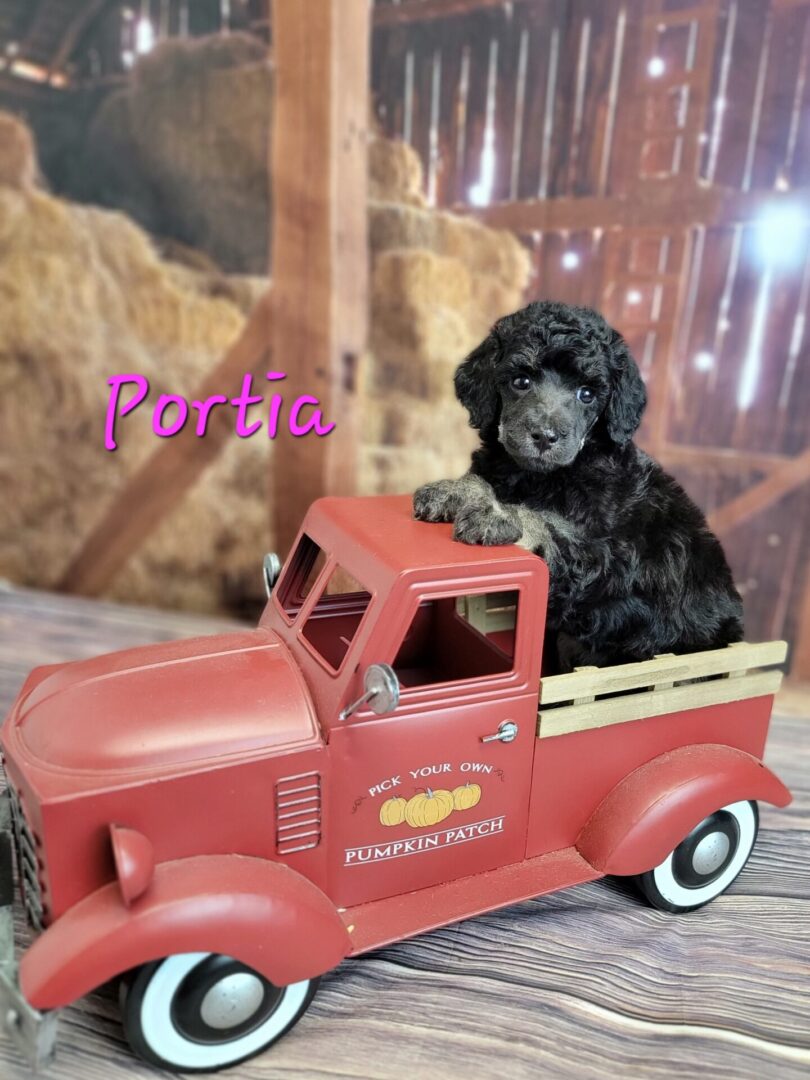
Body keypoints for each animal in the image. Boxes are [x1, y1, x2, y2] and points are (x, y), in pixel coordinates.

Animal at [414, 302, 747, 665]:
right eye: (521, 381)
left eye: (586, 394)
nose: (545, 436)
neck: (539, 476)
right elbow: (479, 479)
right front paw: (451, 491)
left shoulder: (601, 552)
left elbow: (545, 523)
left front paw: (497, 515)